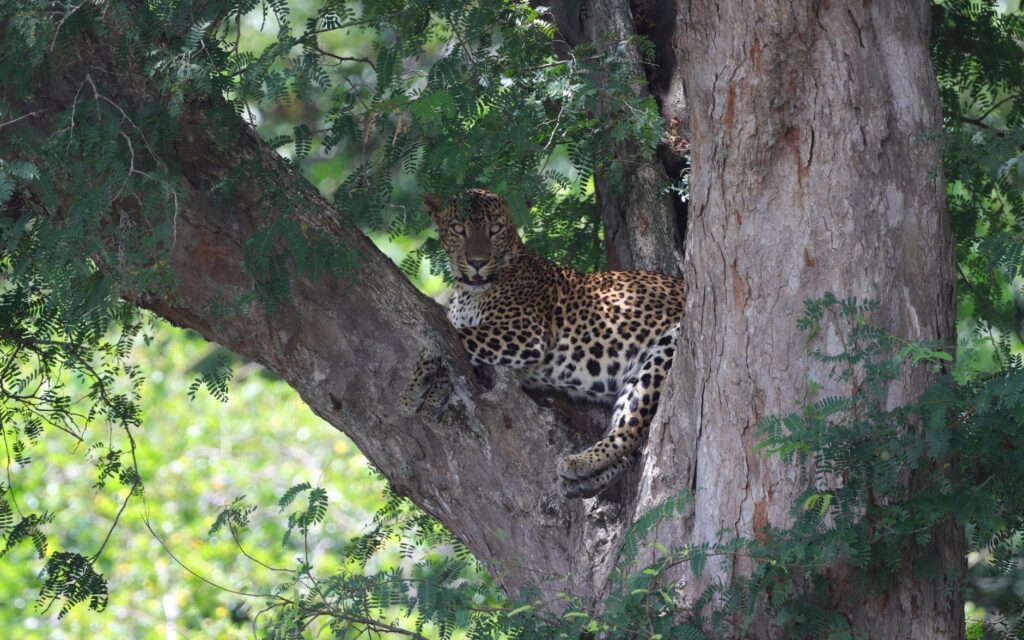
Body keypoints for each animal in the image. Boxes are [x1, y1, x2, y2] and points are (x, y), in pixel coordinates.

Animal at [401, 188, 685, 498]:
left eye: (495, 229)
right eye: (458, 229)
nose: (477, 262)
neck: (467, 291)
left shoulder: (524, 332)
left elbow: (454, 336)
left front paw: (411, 390)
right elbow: (449, 344)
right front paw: (432, 392)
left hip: (667, 346)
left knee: (630, 430)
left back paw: (580, 463)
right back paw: (584, 480)